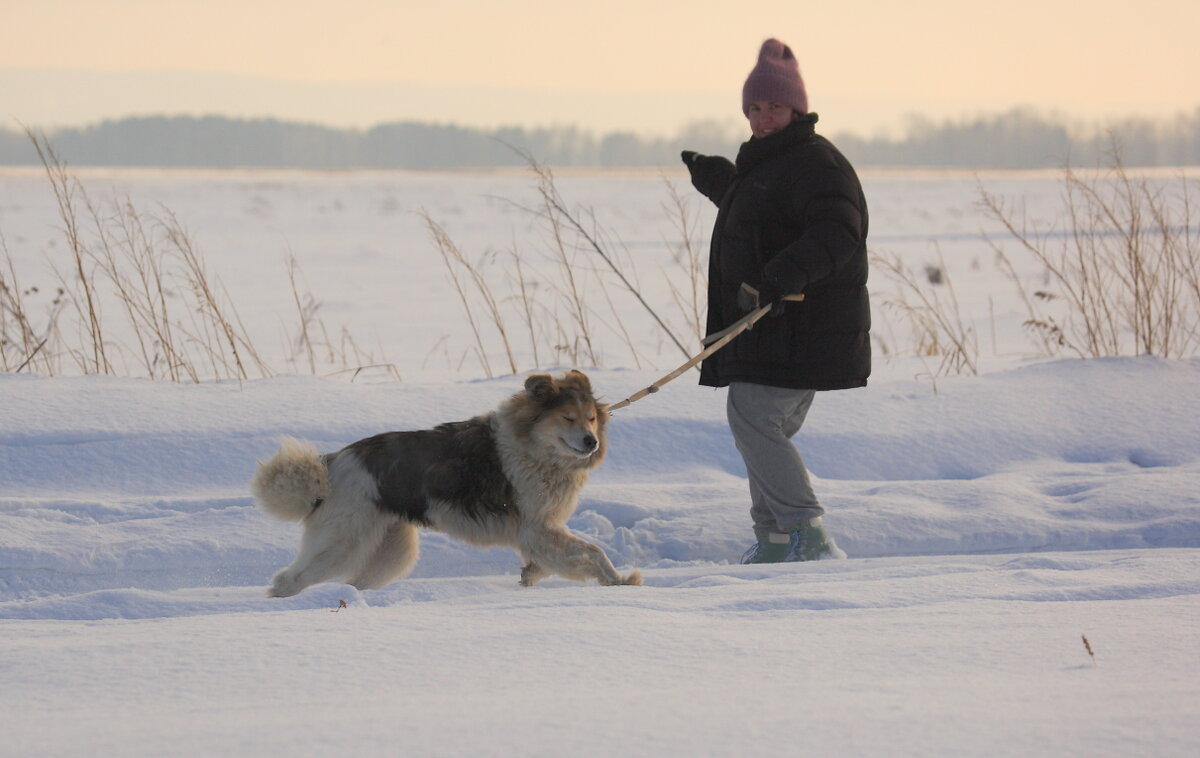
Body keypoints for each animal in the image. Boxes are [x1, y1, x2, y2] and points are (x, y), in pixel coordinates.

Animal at [249, 369, 643, 594]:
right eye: (568, 417)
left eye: (592, 418)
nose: (591, 442)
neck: (534, 448)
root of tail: (331, 464)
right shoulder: (537, 528)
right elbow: (593, 552)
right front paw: (619, 581)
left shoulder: (541, 532)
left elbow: (554, 560)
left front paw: (531, 575)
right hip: (341, 542)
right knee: (288, 580)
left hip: (390, 552)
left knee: (353, 582)